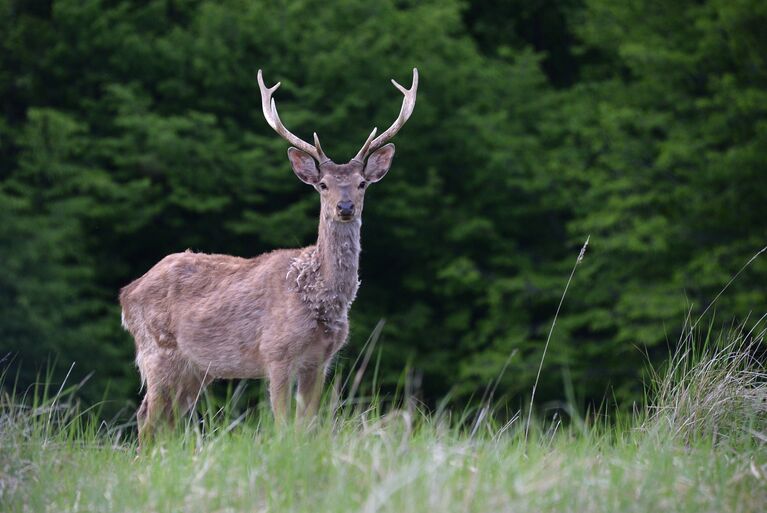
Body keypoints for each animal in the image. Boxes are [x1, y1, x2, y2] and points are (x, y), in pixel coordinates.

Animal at [120, 68, 420, 444]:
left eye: (362, 183)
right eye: (323, 184)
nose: (345, 207)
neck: (318, 296)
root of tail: (126, 293)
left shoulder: (320, 361)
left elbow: (308, 425)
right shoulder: (275, 352)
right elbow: (282, 424)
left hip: (195, 368)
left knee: (167, 420)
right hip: (157, 350)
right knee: (147, 417)